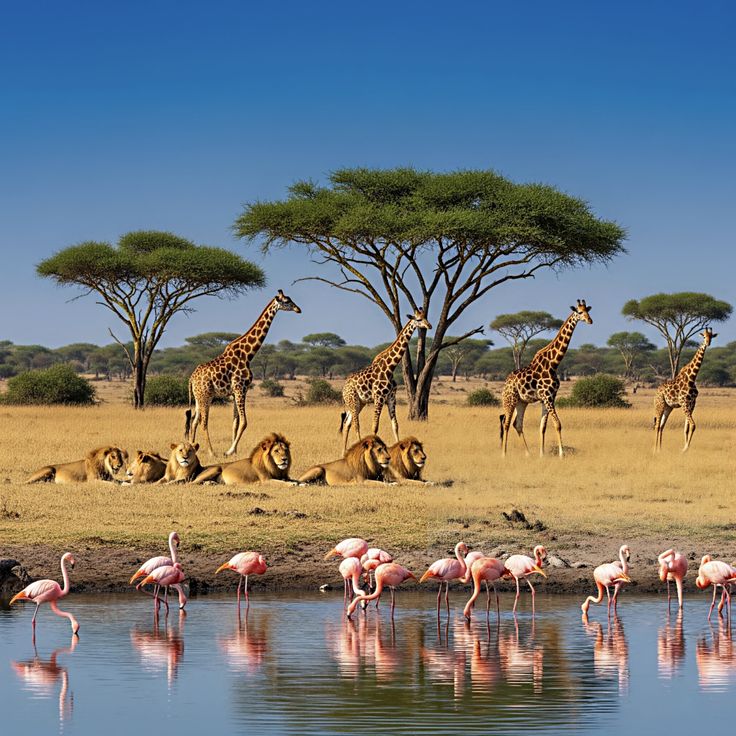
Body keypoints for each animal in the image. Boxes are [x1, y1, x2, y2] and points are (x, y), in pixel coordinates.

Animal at [184, 290, 301, 457]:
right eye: (286, 301)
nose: (298, 309)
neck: (247, 354)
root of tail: (191, 379)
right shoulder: (241, 388)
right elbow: (244, 422)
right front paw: (229, 451)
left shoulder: (235, 392)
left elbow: (235, 422)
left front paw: (234, 451)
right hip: (205, 396)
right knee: (202, 422)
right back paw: (211, 452)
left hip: (198, 397)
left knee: (194, 421)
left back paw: (193, 449)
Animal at [338, 309, 431, 454]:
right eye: (418, 319)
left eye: (425, 317)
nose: (429, 326)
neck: (390, 367)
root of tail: (344, 388)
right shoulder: (379, 397)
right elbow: (374, 427)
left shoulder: (391, 398)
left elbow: (395, 425)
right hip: (353, 401)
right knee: (355, 425)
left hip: (359, 403)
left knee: (346, 423)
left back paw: (344, 453)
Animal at [500, 300, 593, 458]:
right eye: (580, 312)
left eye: (588, 311)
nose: (590, 320)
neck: (553, 364)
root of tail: (506, 382)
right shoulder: (547, 397)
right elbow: (558, 424)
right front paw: (562, 454)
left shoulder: (549, 397)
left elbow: (543, 426)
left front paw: (542, 454)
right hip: (510, 398)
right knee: (506, 423)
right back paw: (504, 454)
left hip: (522, 401)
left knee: (517, 424)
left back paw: (528, 453)